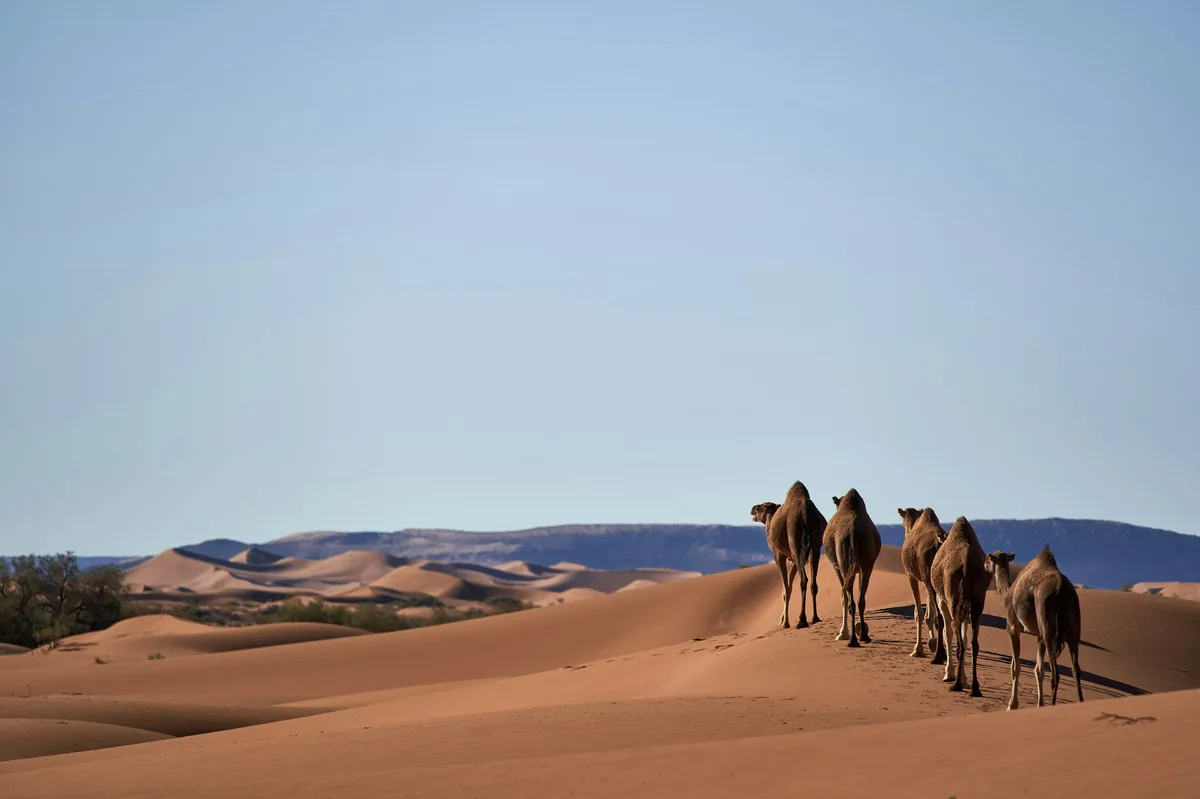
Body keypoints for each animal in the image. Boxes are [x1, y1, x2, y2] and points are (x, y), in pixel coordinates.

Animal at [749, 480, 826, 629]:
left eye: (762, 507)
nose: (752, 508)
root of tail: (806, 514)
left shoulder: (778, 554)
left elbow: (785, 588)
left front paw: (784, 623)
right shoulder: (795, 560)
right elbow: (789, 587)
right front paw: (783, 620)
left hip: (796, 542)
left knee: (804, 580)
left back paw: (802, 620)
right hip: (815, 547)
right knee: (813, 582)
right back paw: (815, 618)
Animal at [824, 489, 882, 647]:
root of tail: (853, 532)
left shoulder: (836, 566)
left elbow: (843, 596)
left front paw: (842, 633)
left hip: (844, 564)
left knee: (851, 601)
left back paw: (853, 640)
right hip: (867, 564)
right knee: (861, 600)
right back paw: (863, 636)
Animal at [897, 507, 948, 659]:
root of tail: (939, 543)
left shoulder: (911, 576)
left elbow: (918, 613)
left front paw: (918, 649)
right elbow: (927, 615)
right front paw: (931, 642)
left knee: (939, 617)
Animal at [929, 516, 990, 696]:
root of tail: (967, 564)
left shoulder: (943, 600)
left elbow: (947, 633)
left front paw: (949, 674)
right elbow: (964, 636)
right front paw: (964, 678)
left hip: (953, 599)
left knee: (960, 643)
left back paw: (955, 684)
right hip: (977, 602)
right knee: (974, 643)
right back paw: (975, 688)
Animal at [985, 546, 1084, 710]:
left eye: (989, 558)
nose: (984, 563)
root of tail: (1062, 590)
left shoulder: (1012, 627)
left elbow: (1015, 667)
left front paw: (1012, 705)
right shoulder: (1039, 635)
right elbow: (1039, 670)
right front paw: (1039, 704)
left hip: (1048, 624)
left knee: (1055, 673)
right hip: (1073, 627)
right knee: (1076, 669)